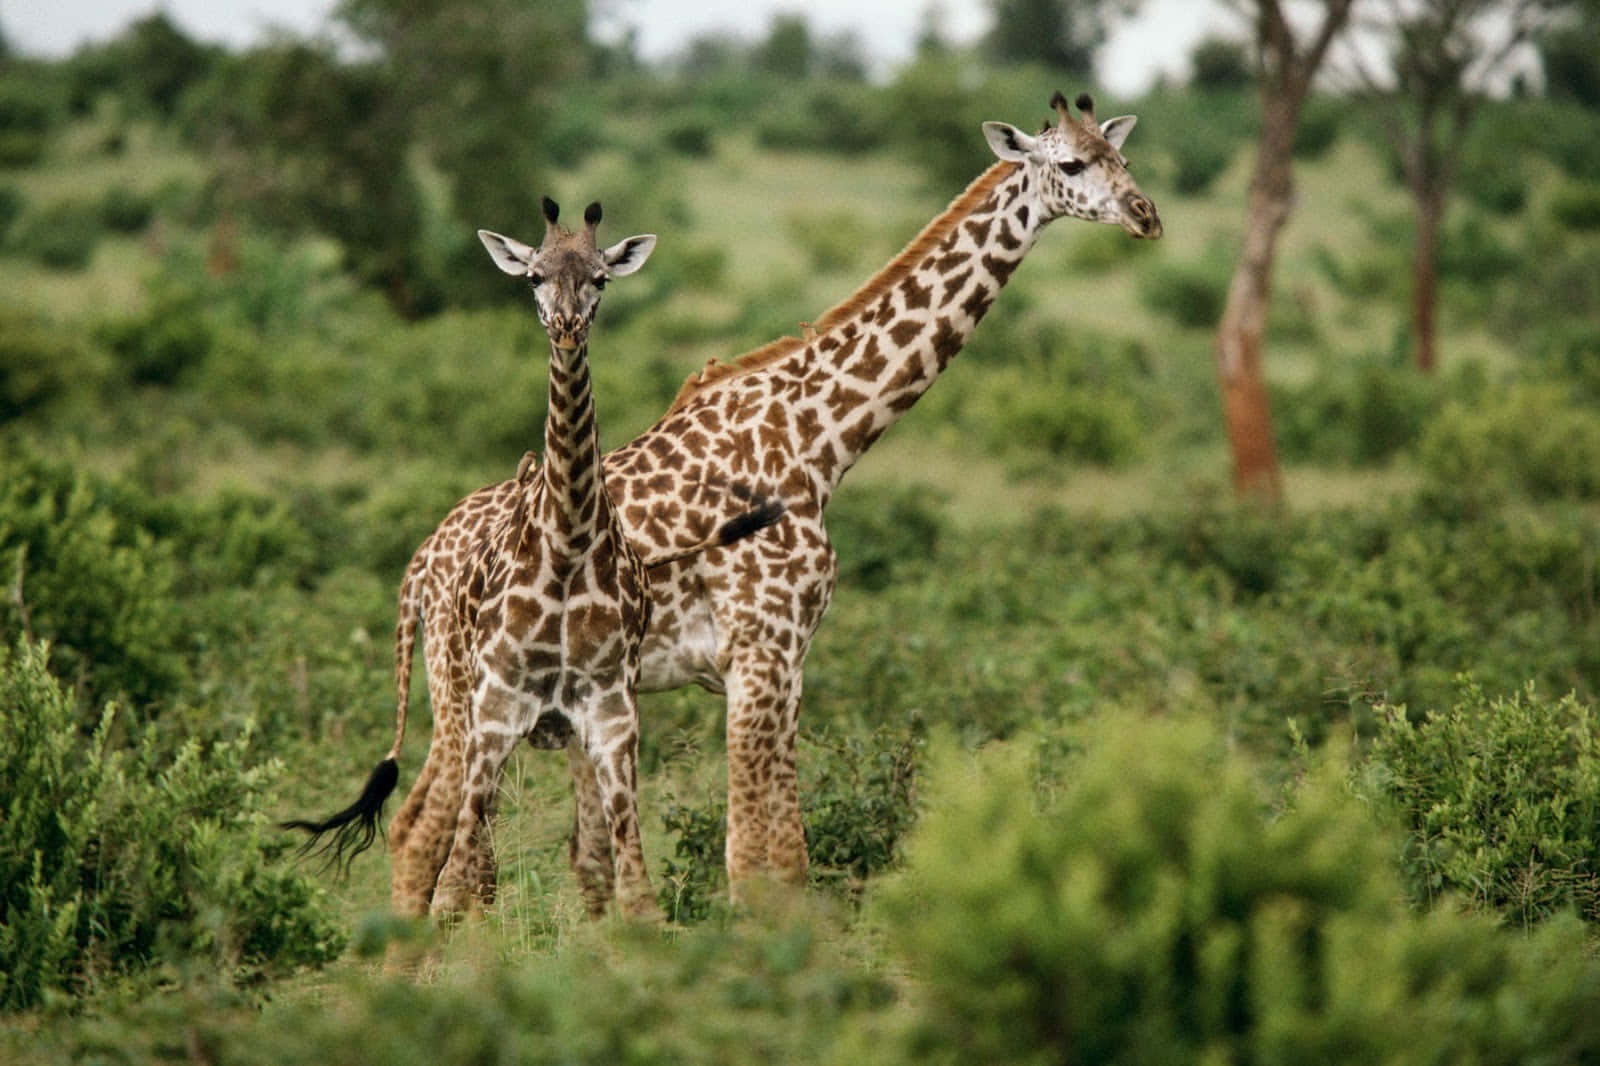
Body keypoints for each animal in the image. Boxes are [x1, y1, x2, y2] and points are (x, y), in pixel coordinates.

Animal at [284, 197, 785, 920]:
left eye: (600, 278)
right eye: (534, 277)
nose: (568, 328)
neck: (569, 544)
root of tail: (421, 560)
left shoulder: (611, 718)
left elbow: (637, 890)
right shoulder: (498, 714)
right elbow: (454, 888)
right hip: (463, 713)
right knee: (449, 858)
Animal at [380, 90, 1161, 912]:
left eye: (1122, 158)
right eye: (1070, 165)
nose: (1145, 215)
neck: (820, 441)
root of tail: (422, 562)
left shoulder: (788, 657)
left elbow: (781, 853)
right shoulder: (761, 648)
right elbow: (759, 861)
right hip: (467, 689)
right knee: (421, 829)